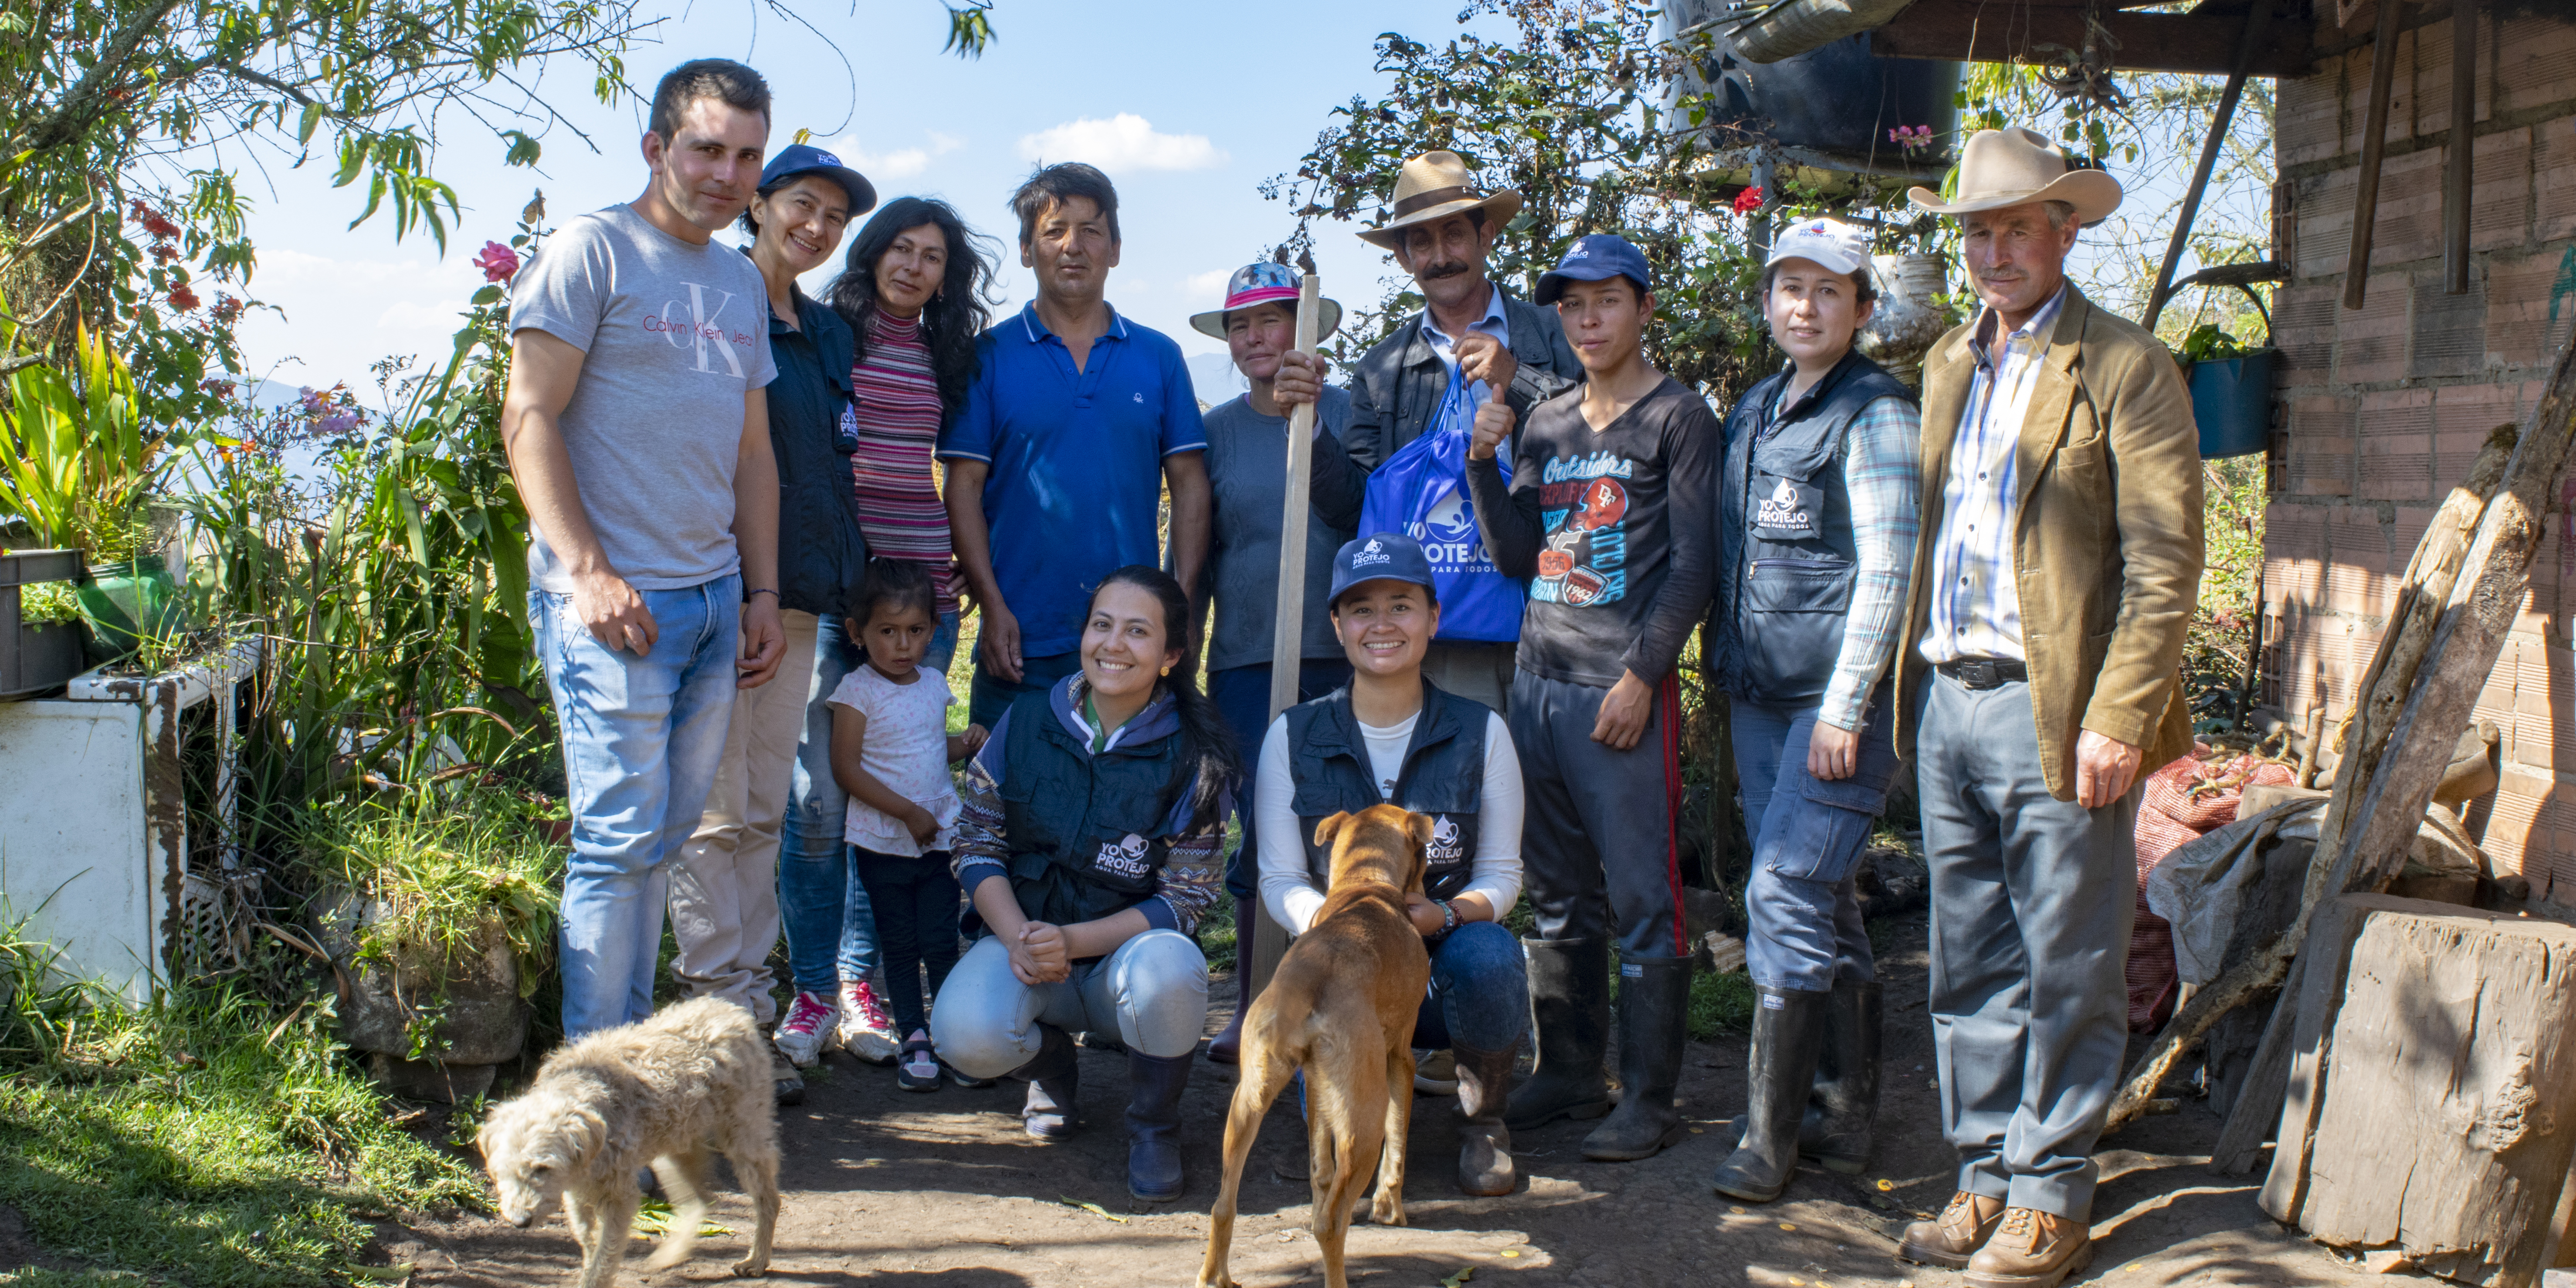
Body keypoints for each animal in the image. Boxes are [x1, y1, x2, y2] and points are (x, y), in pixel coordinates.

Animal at [474, 994, 773, 1288]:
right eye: (502, 1172)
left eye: (542, 1169)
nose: (520, 1222)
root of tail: (729, 1009)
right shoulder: (574, 1192)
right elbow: (589, 1241)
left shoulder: (619, 1199)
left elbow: (604, 1258)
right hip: (674, 1151)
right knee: (701, 1201)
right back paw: (673, 1254)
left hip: (744, 1141)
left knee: (768, 1200)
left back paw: (756, 1260)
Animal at [1195, 803, 1442, 1288]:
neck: (1365, 885)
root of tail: (1311, 978)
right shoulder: (1399, 1060)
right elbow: (1397, 1141)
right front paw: (1390, 1208)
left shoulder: (1316, 1087)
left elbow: (1319, 1169)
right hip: (1363, 1125)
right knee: (1330, 1224)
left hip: (1247, 1104)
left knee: (1222, 1205)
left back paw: (1215, 1275)